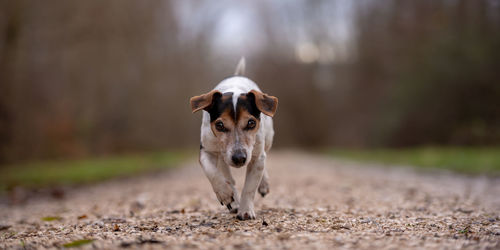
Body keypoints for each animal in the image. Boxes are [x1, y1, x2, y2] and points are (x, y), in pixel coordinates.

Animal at [190, 57, 280, 220]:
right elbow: (212, 172)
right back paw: (233, 201)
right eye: (219, 125)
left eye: (251, 123)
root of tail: (237, 75)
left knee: (264, 159)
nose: (239, 158)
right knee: (228, 177)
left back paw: (263, 184)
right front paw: (225, 194)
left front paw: (246, 210)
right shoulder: (206, 150)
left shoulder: (256, 156)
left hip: (268, 140)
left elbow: (250, 186)